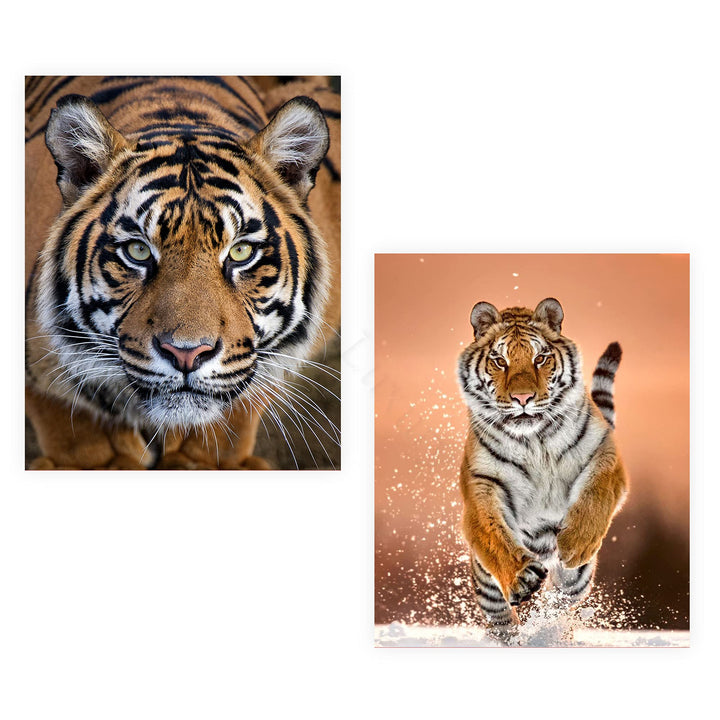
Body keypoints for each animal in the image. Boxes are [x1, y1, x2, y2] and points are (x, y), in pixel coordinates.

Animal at [456, 297, 628, 633]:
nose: (523, 398)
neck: (534, 441)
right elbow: (493, 532)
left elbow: (596, 496)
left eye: (540, 358)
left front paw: (575, 544)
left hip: (576, 585)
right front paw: (523, 576)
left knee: (558, 605)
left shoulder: (605, 453)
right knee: (502, 621)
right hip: (487, 589)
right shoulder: (482, 483)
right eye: (500, 360)